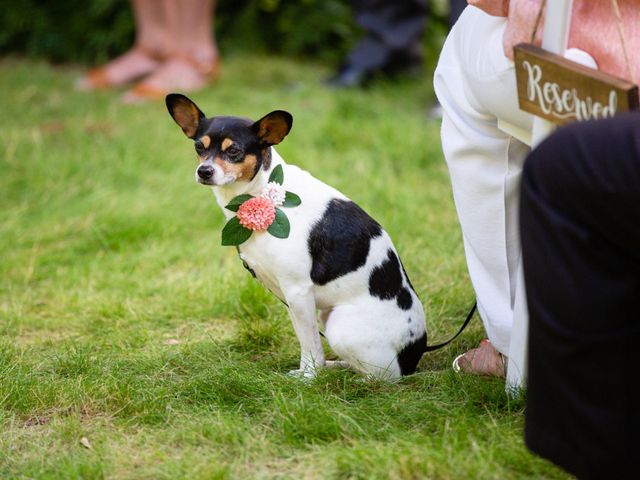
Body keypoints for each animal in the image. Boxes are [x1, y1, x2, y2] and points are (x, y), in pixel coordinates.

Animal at [166, 94, 424, 378]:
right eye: (199, 147)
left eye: (233, 151)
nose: (204, 171)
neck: (263, 189)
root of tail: (413, 357)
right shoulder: (290, 296)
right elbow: (306, 339)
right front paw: (307, 372)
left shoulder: (298, 291)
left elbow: (311, 345)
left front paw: (309, 377)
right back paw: (337, 367)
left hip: (340, 327)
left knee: (383, 376)